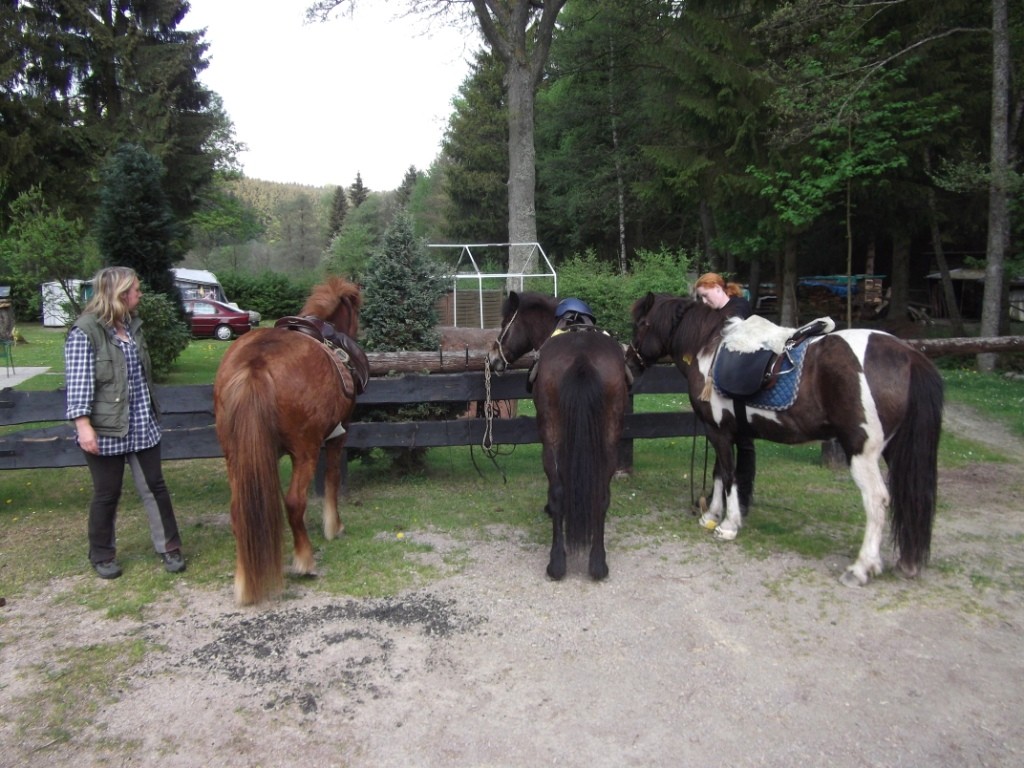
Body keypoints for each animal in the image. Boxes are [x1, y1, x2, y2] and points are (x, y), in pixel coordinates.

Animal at [211, 278, 364, 606]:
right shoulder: (339, 434)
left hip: (235, 454)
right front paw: (334, 526)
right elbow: (332, 478)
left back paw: (243, 581)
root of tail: (255, 364)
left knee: (238, 511)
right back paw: (305, 561)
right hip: (304, 452)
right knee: (294, 502)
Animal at [483, 290, 626, 581]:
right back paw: (598, 563)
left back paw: (556, 562)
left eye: (504, 324)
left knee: (558, 491)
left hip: (550, 438)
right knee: (602, 494)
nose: (493, 357)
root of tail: (582, 359)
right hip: (608, 440)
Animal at [622, 294, 942, 589]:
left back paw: (861, 568)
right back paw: (905, 563)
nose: (629, 365)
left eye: (643, 323)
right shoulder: (726, 431)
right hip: (895, 450)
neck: (707, 350)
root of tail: (908, 354)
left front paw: (728, 525)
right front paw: (711, 514)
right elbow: (719, 474)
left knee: (877, 499)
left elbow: (729, 476)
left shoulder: (718, 431)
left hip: (861, 452)